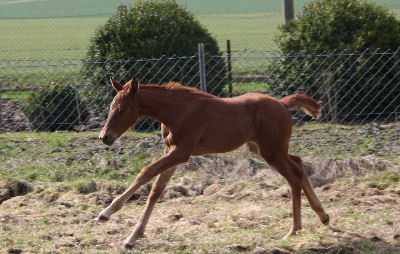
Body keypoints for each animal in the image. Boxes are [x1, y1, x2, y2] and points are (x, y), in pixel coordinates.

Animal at [96, 76, 328, 247]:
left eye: (123, 109)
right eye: (111, 107)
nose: (105, 137)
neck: (177, 110)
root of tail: (281, 103)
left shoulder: (181, 152)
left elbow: (145, 172)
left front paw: (106, 213)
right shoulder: (171, 151)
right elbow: (156, 190)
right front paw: (132, 237)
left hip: (272, 151)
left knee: (294, 175)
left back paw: (295, 229)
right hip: (264, 148)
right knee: (298, 162)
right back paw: (323, 215)